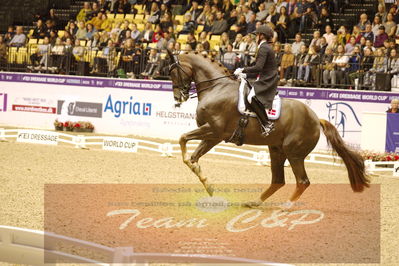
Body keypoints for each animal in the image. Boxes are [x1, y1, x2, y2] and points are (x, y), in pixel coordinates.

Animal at [167, 51, 370, 207]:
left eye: (174, 72)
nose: (178, 98)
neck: (217, 88)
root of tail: (315, 118)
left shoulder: (213, 130)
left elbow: (182, 138)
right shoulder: (213, 137)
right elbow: (193, 158)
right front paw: (208, 185)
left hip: (294, 153)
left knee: (302, 181)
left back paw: (286, 206)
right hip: (277, 150)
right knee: (278, 181)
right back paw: (255, 202)